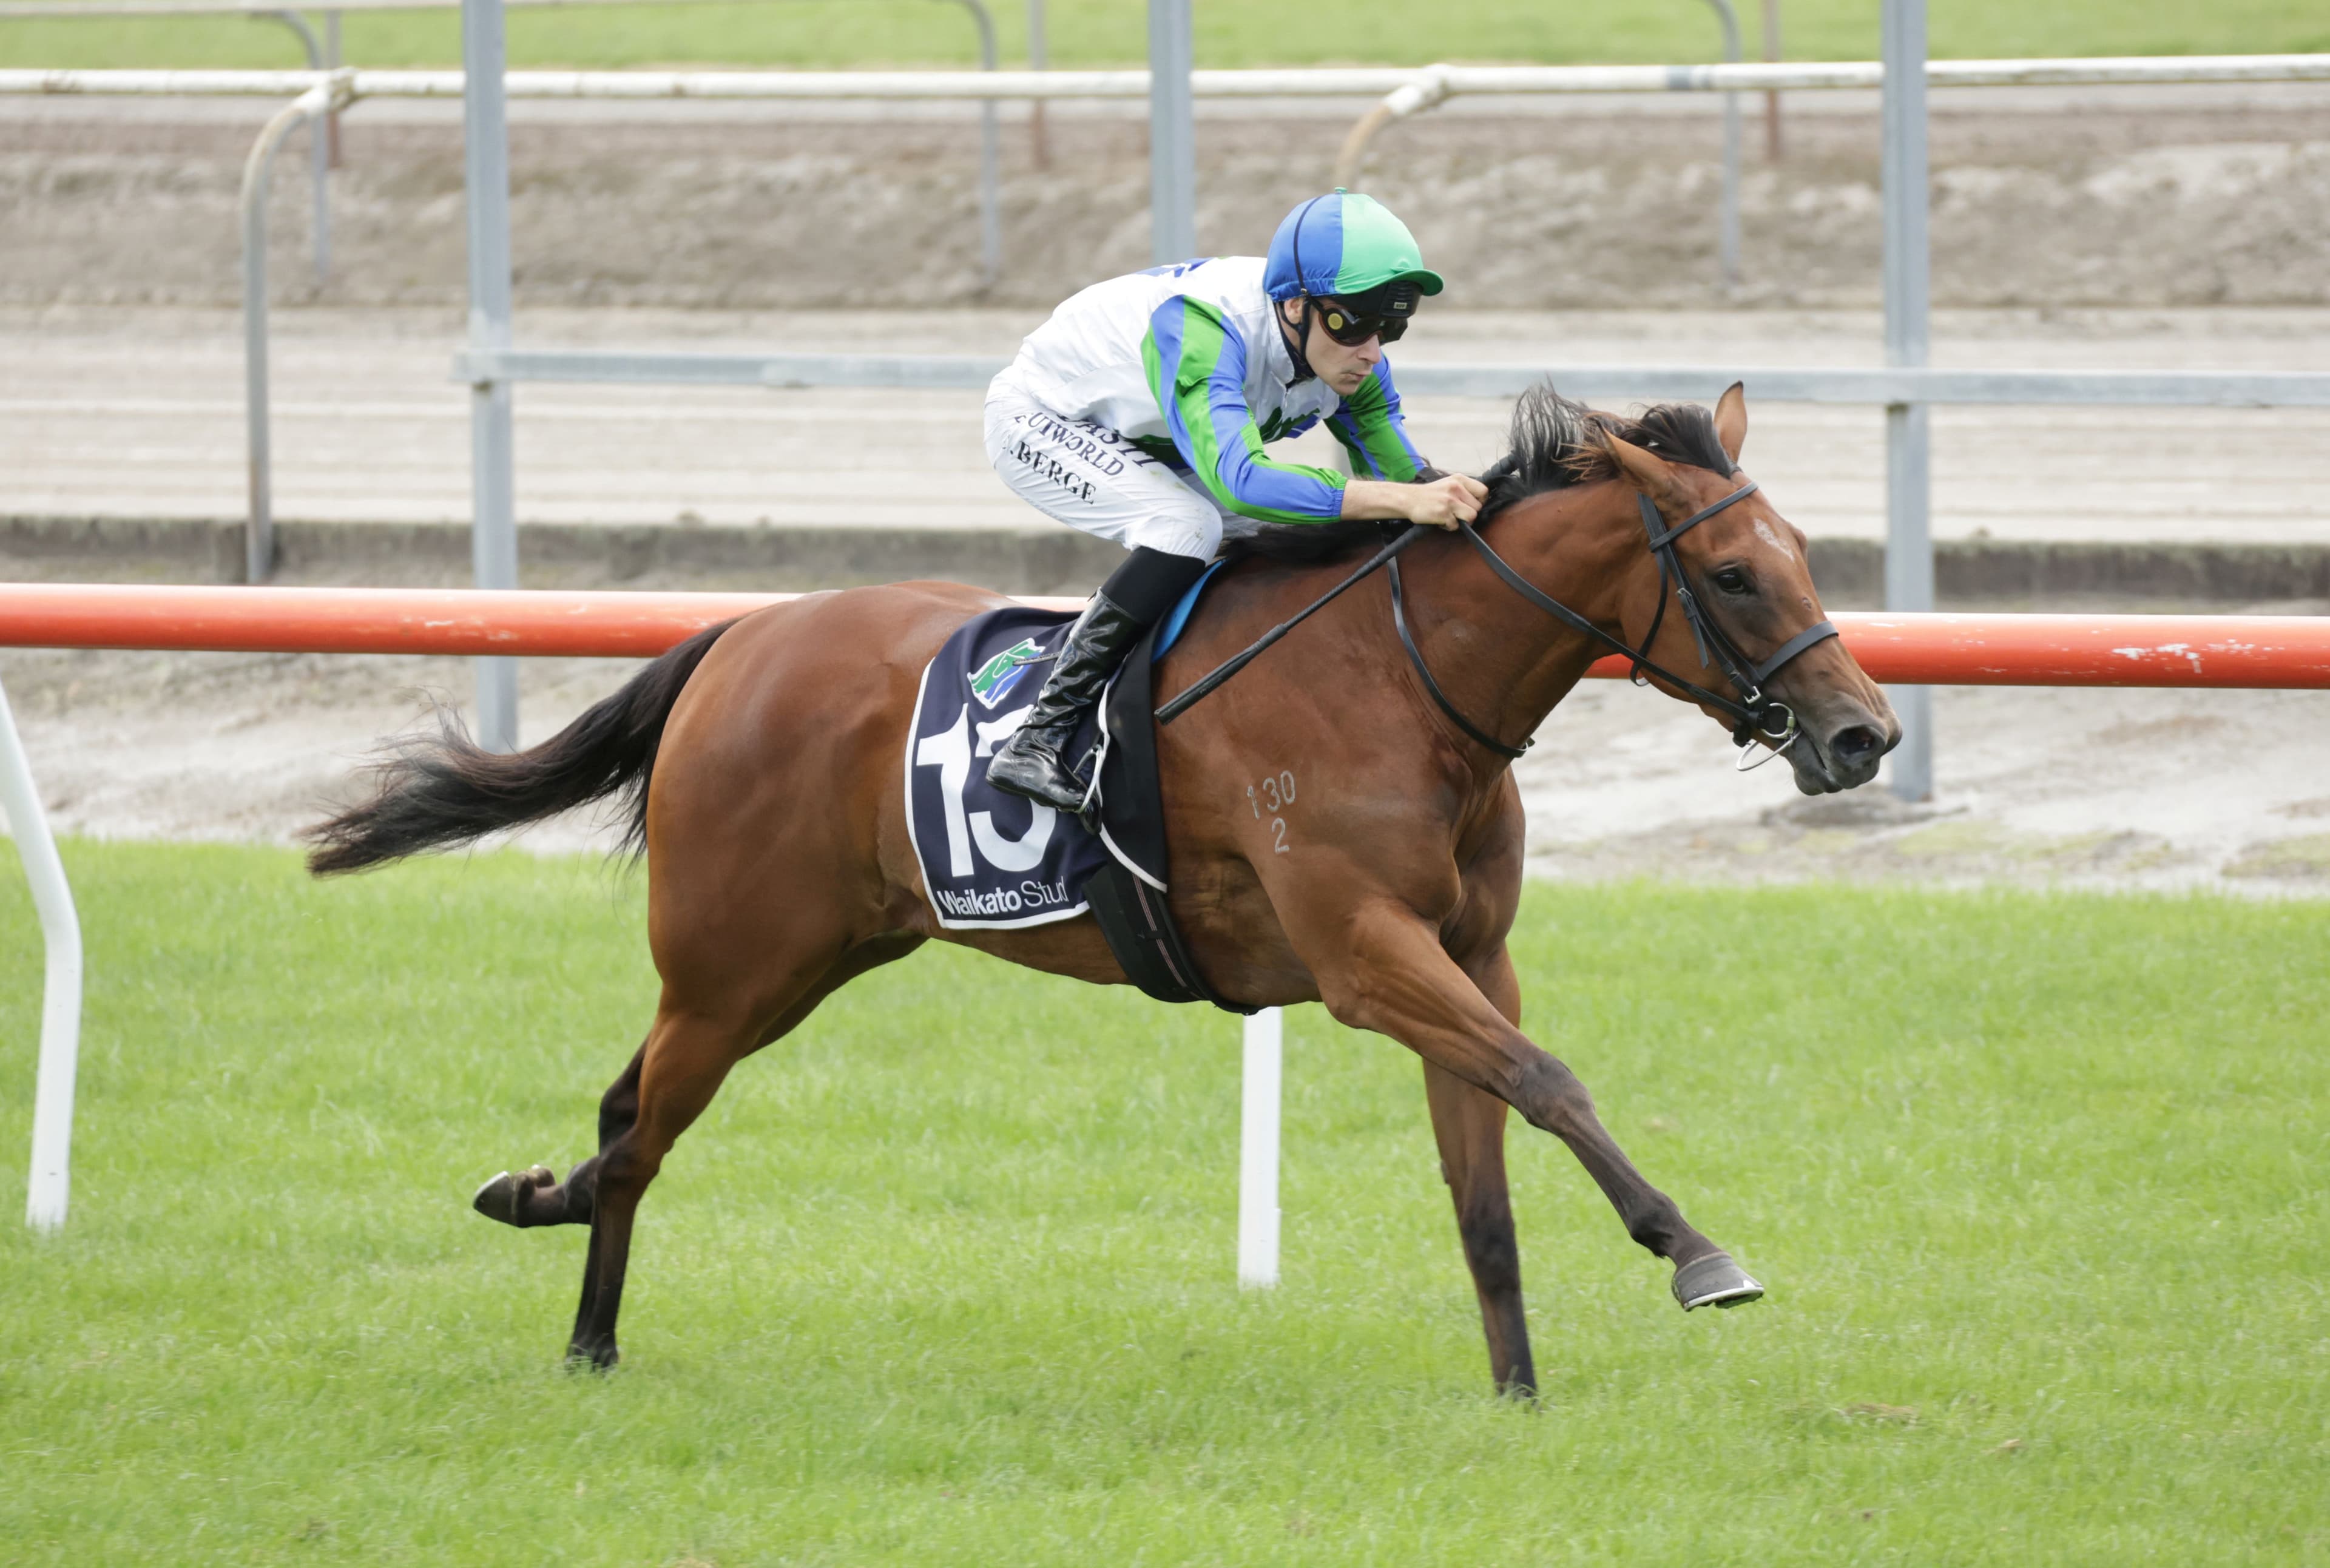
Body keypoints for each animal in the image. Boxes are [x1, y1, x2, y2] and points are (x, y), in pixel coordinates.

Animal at [306, 383, 1898, 1395]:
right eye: (1736, 574)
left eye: (1799, 558)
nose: (1862, 733)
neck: (1403, 681)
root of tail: (734, 640)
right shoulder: (1364, 957)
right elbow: (1553, 1080)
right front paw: (1696, 1254)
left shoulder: (1466, 952)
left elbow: (1487, 1168)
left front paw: (1517, 1390)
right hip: (729, 964)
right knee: (642, 1129)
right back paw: (589, 1336)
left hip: (813, 958)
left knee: (622, 1108)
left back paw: (538, 1198)